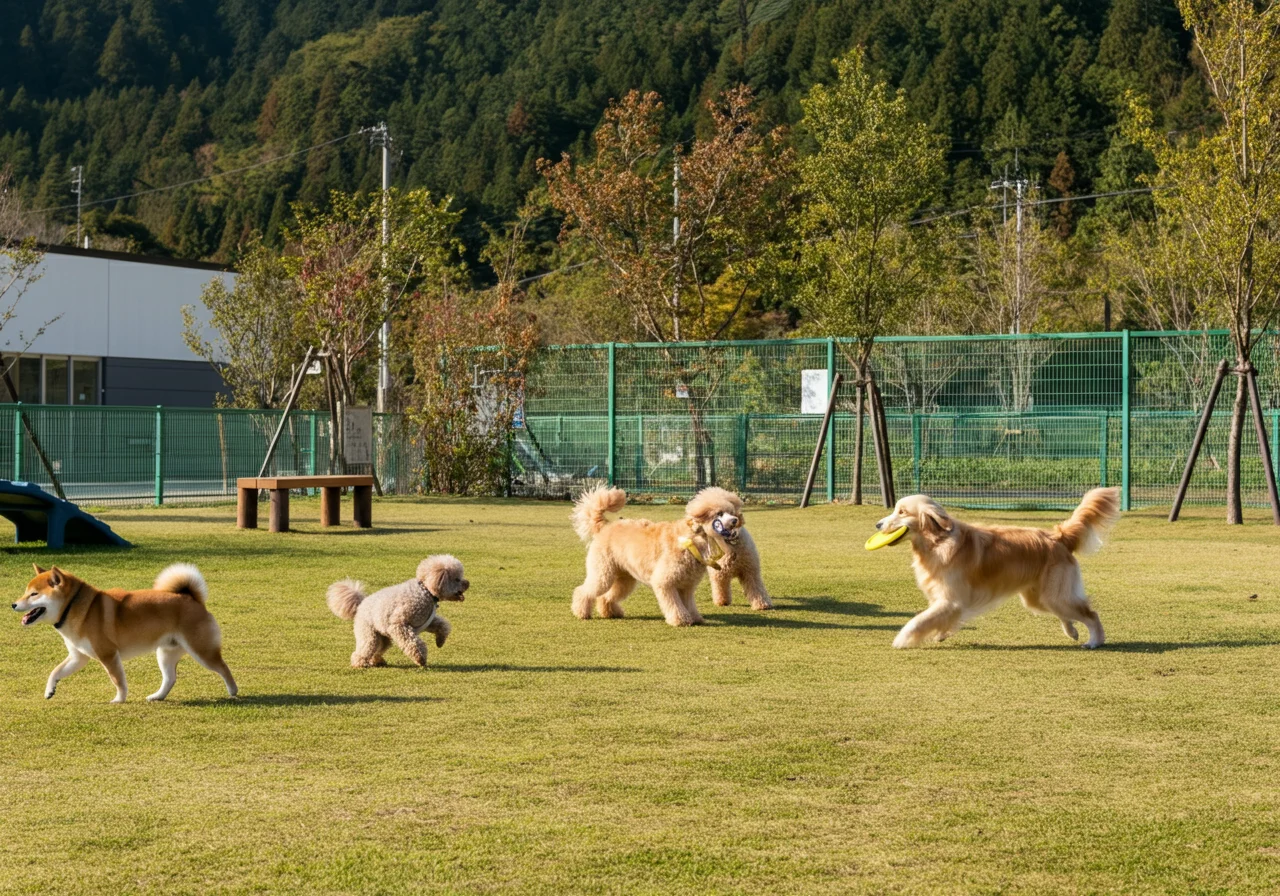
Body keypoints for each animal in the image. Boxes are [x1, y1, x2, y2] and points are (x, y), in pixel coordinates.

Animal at [12, 563, 238, 703]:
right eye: (25, 592)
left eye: (33, 594)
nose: (13, 604)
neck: (74, 607)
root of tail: (192, 598)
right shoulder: (79, 657)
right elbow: (55, 671)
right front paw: (50, 690)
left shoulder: (108, 655)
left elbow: (117, 680)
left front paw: (119, 700)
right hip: (165, 653)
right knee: (170, 678)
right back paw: (157, 696)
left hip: (201, 651)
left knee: (223, 667)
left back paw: (233, 691)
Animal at [327, 555, 468, 668]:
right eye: (457, 579)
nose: (468, 583)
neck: (425, 591)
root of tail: (361, 603)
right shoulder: (399, 625)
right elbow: (413, 643)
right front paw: (420, 658)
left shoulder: (427, 620)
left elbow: (443, 625)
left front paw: (440, 641)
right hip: (369, 633)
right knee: (365, 648)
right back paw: (359, 663)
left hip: (382, 636)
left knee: (379, 648)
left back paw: (377, 661)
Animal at [571, 485, 754, 626]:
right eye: (719, 514)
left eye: (731, 512)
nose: (735, 520)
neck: (693, 539)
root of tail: (604, 526)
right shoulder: (665, 583)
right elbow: (674, 604)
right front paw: (681, 620)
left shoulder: (686, 585)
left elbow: (689, 604)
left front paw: (695, 618)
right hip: (603, 573)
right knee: (583, 591)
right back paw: (581, 612)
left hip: (624, 578)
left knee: (606, 596)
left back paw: (610, 612)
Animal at [876, 488, 1120, 648]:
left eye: (902, 512)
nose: (877, 525)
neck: (938, 542)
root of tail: (1058, 536)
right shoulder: (945, 601)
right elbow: (938, 620)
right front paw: (942, 634)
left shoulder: (950, 600)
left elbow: (918, 621)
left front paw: (901, 639)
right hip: (1039, 598)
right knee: (1067, 614)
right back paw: (1072, 632)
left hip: (1054, 594)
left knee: (1091, 614)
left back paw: (1095, 641)